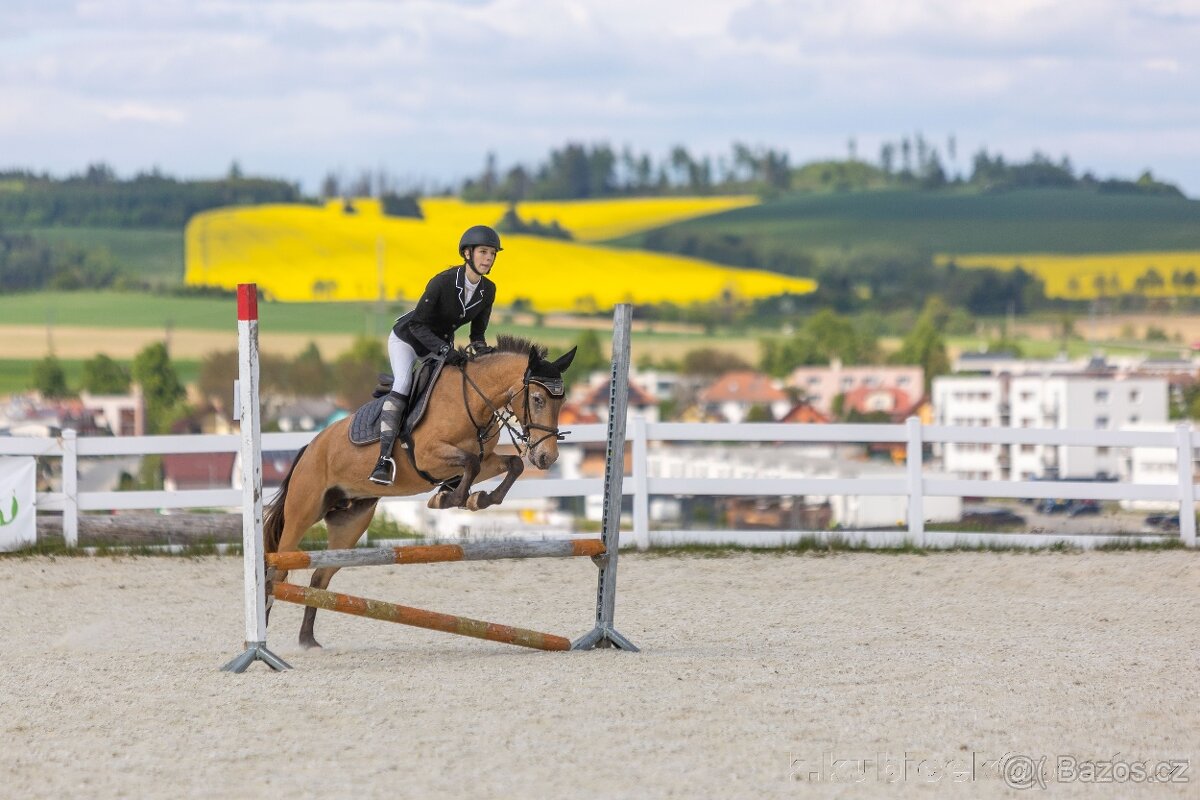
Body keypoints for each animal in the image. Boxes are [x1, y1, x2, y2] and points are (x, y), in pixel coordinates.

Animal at [263, 334, 578, 649]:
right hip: (303, 512)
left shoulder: (487, 459)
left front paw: (479, 498)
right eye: (537, 399)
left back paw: (308, 640)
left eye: (561, 401)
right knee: (277, 570)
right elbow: (471, 463)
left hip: (350, 523)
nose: (547, 458)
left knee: (320, 577)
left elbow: (511, 464)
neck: (473, 400)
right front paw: (448, 498)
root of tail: (310, 447)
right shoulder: (429, 457)